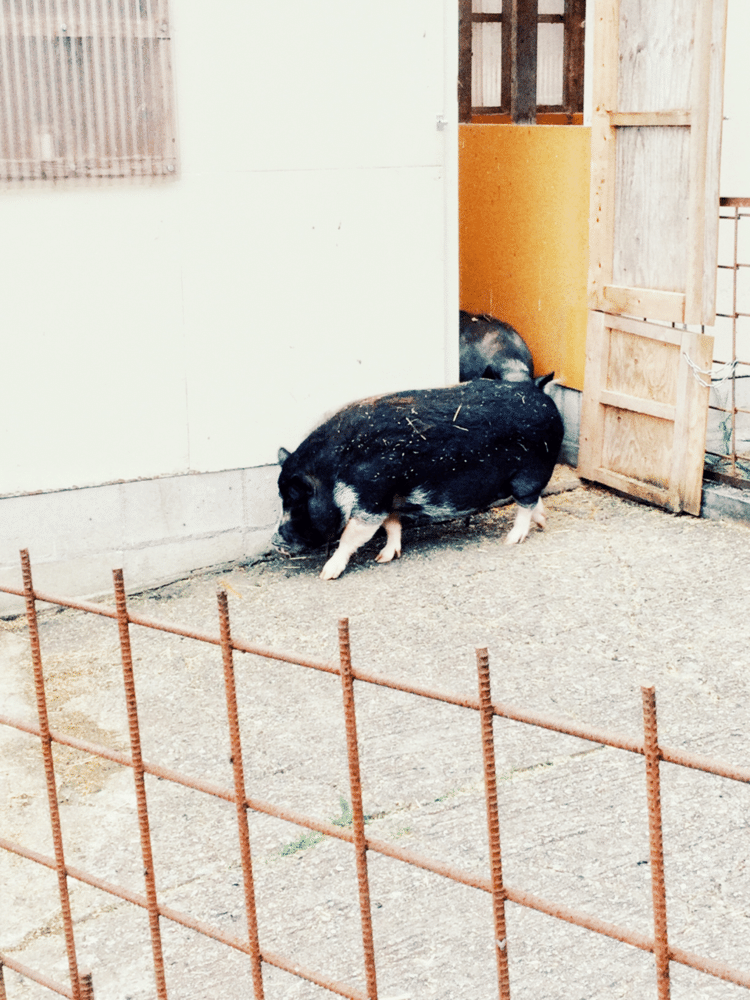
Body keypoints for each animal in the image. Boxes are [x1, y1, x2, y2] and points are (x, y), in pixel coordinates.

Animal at [274, 376, 564, 584]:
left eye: (295, 501)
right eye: (283, 499)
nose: (276, 542)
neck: (333, 474)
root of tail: (542, 395)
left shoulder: (371, 499)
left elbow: (350, 536)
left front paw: (326, 574)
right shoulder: (388, 498)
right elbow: (392, 525)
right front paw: (384, 558)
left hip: (529, 473)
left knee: (526, 503)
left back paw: (511, 539)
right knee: (535, 500)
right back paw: (542, 524)